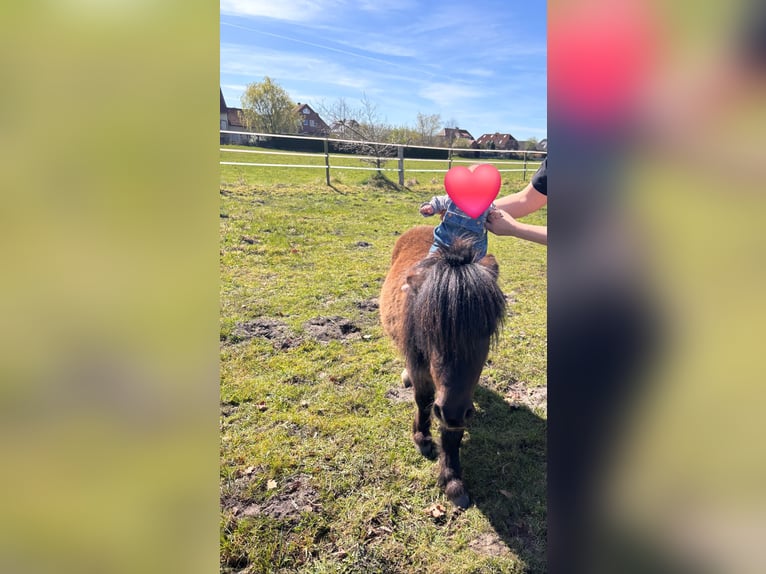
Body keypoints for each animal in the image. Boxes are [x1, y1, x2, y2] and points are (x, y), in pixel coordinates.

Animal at [379, 225, 506, 508]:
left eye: (486, 331)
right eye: (430, 329)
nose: (454, 413)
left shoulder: (459, 397)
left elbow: (451, 431)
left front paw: (452, 479)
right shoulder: (422, 372)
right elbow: (423, 400)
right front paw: (422, 438)